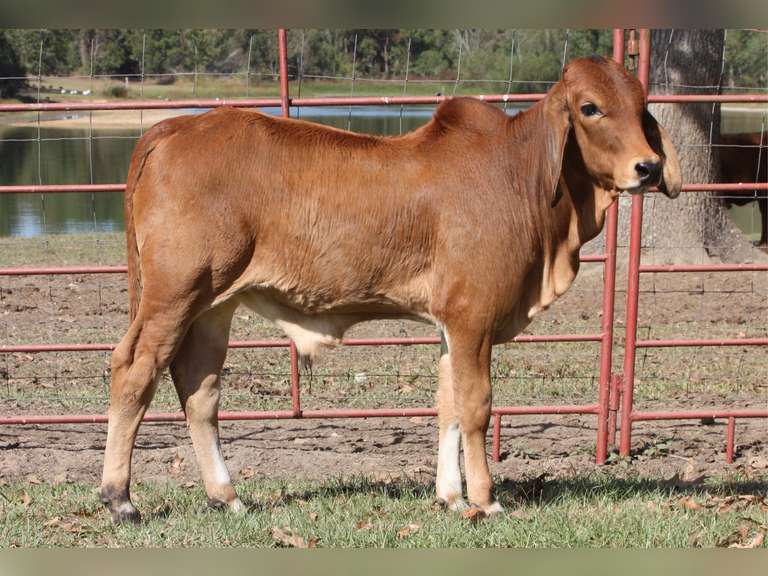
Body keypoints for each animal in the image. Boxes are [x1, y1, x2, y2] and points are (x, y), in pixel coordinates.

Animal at [100, 56, 681, 523]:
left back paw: (226, 495)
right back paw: (120, 498)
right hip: (175, 294)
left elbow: (448, 405)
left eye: (641, 106)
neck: (522, 179)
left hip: (213, 307)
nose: (648, 167)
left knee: (199, 390)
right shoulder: (473, 318)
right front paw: (485, 499)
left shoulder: (451, 326)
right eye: (590, 107)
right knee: (134, 370)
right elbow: (475, 406)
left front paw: (450, 495)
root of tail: (175, 126)